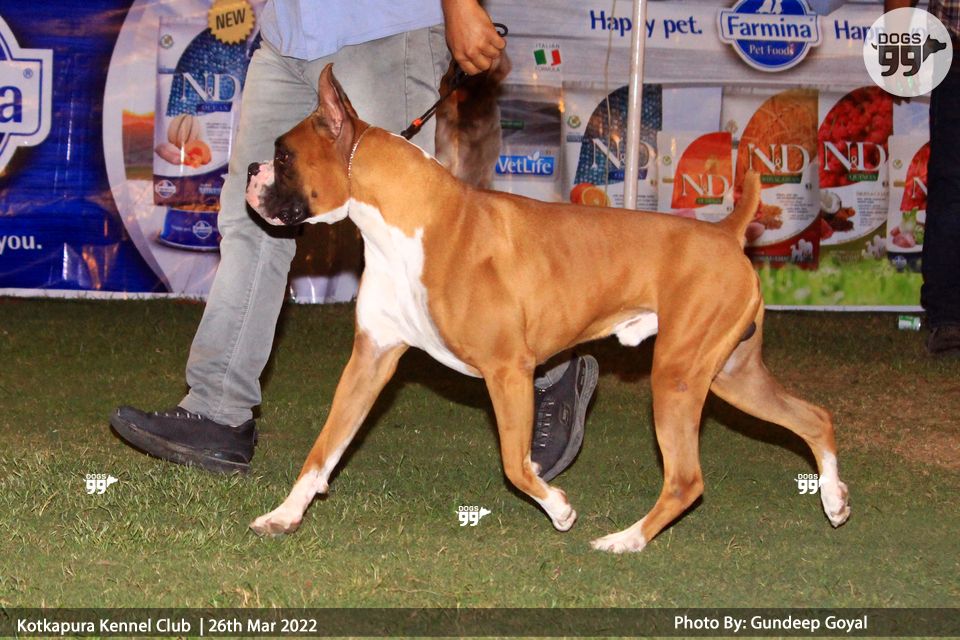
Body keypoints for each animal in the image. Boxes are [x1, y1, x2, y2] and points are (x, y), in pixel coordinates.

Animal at [244, 65, 850, 552]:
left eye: (283, 154)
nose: (250, 169)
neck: (413, 222)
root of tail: (726, 233)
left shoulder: (508, 370)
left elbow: (516, 465)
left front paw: (559, 508)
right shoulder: (369, 362)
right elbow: (323, 449)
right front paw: (284, 514)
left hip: (678, 376)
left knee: (686, 480)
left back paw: (626, 540)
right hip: (731, 374)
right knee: (814, 417)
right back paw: (834, 498)